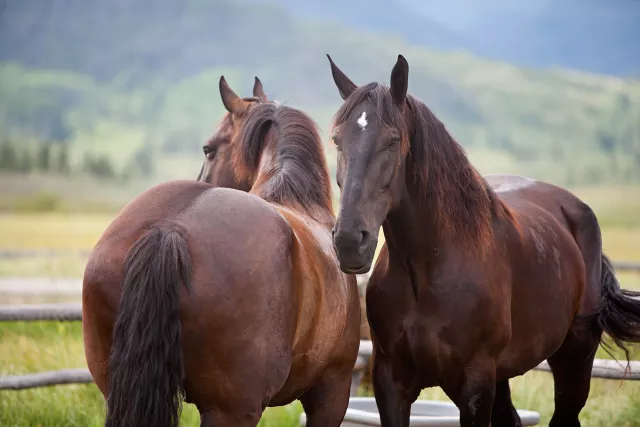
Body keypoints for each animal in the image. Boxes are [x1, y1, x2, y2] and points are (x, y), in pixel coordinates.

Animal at [324, 54, 640, 427]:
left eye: (392, 140)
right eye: (337, 140)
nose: (349, 240)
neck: (430, 269)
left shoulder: (475, 385)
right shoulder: (391, 384)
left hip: (574, 359)